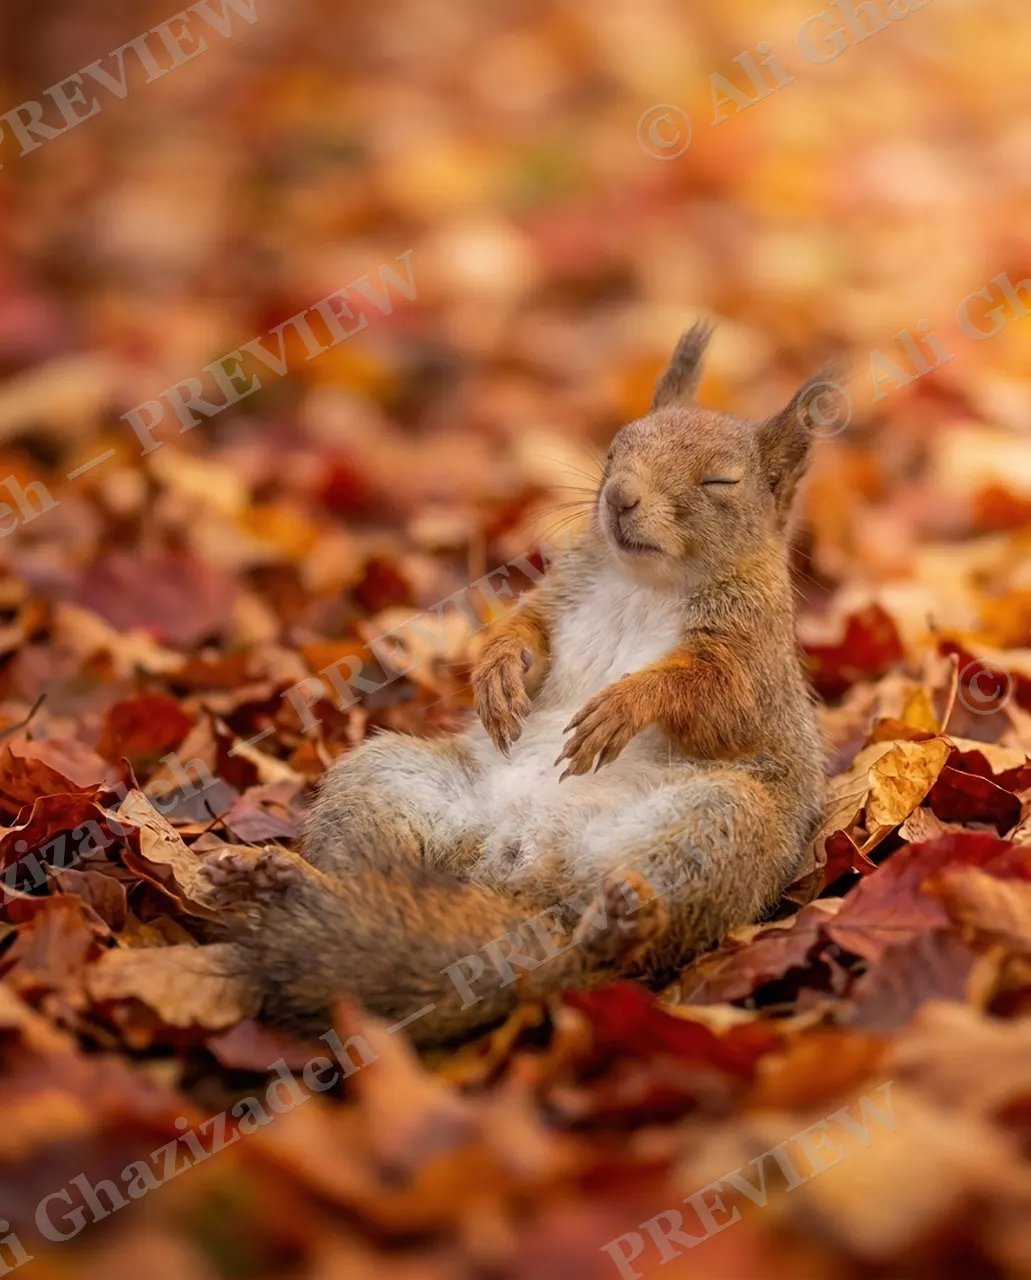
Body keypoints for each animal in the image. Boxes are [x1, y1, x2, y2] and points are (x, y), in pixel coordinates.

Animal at [209, 323, 827, 1047]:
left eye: (720, 479)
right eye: (616, 446)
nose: (620, 496)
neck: (644, 583)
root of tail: (519, 869)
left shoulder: (752, 655)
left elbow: (716, 696)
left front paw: (624, 703)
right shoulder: (559, 600)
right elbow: (527, 635)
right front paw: (498, 675)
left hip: (721, 825)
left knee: (610, 945)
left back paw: (620, 924)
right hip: (383, 782)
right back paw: (284, 879)